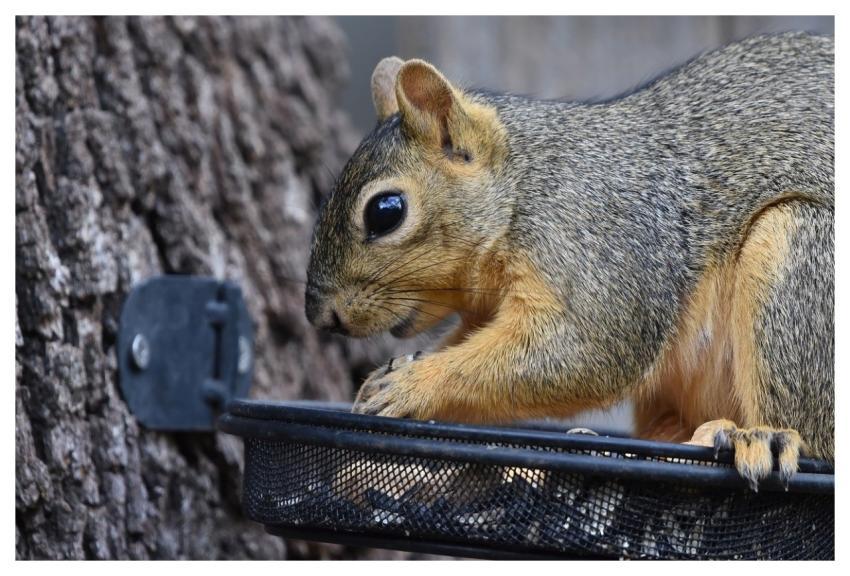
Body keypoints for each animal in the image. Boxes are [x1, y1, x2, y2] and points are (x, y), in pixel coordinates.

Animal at [305, 32, 834, 490]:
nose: (321, 316)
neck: (523, 186)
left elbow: (583, 352)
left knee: (812, 436)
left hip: (797, 264)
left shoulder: (599, 246)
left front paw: (412, 385)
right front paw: (383, 379)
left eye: (385, 211)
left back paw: (757, 437)